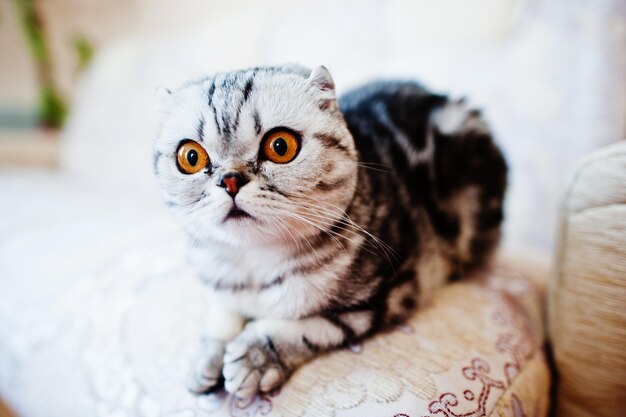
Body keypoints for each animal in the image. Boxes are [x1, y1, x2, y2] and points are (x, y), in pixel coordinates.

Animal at [152, 63, 508, 398]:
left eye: (280, 146)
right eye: (191, 156)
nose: (230, 180)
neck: (253, 269)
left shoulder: (384, 296)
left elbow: (304, 328)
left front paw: (255, 358)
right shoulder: (219, 280)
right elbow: (221, 314)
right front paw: (205, 357)